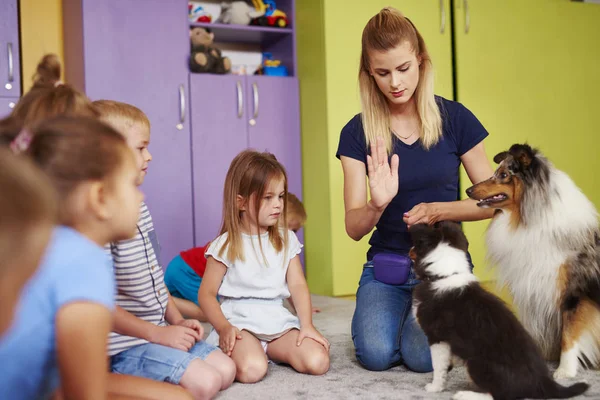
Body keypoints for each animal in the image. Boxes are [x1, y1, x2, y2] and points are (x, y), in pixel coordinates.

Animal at [408, 222, 584, 400]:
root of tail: (541, 381)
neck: (445, 274)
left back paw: (465, 394)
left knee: (499, 395)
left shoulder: (436, 337)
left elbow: (438, 366)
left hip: (476, 363)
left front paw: (434, 387)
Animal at [468, 144, 600, 378]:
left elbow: (569, 333)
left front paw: (564, 371)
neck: (527, 217)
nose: (468, 190)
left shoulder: (573, 294)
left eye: (504, 175)